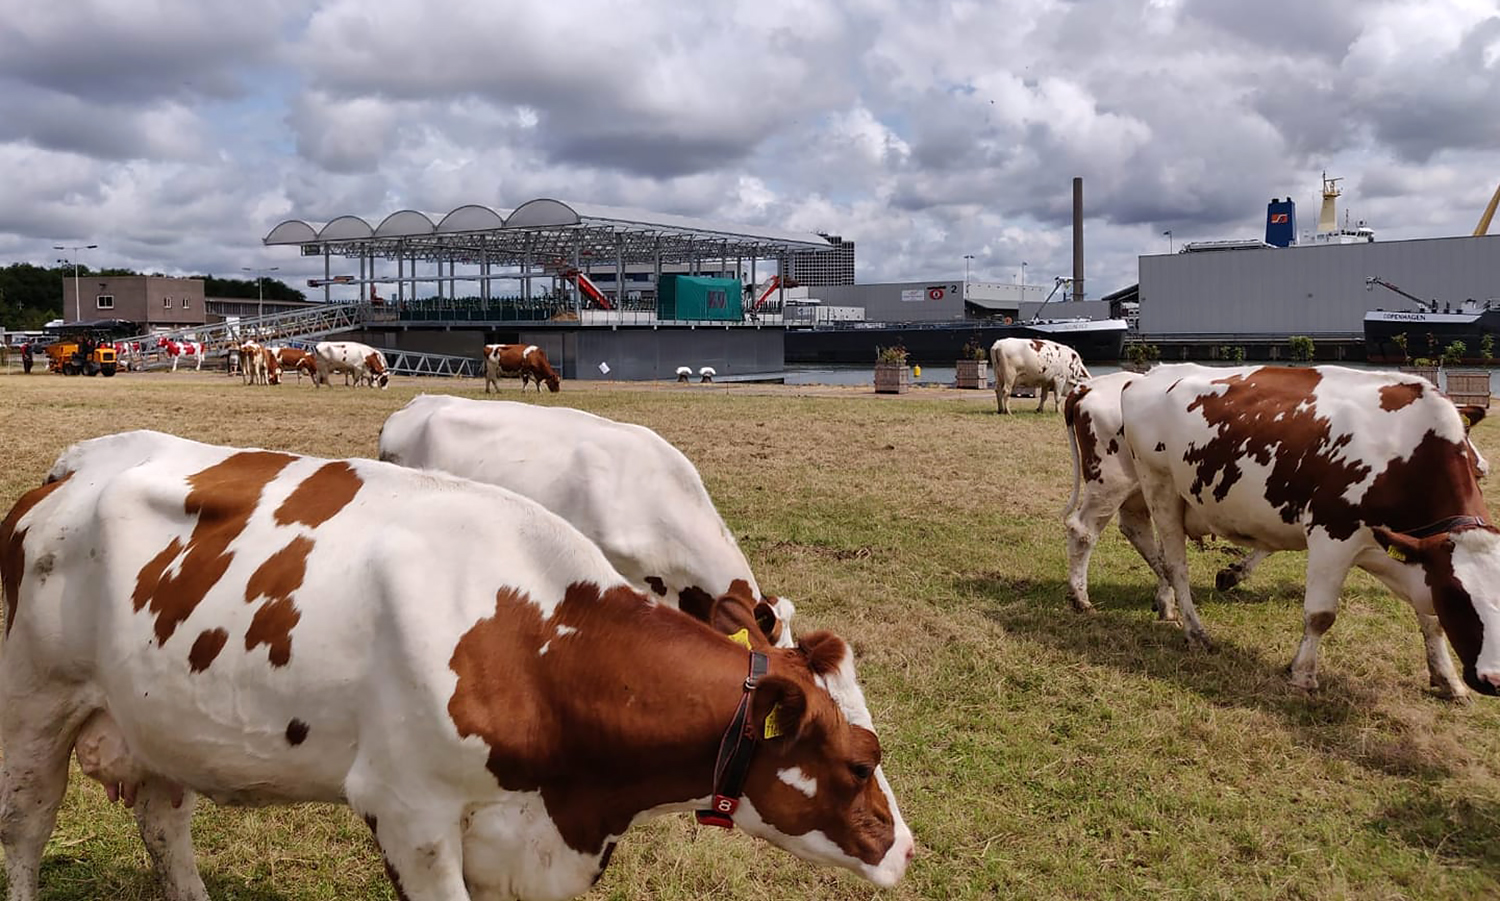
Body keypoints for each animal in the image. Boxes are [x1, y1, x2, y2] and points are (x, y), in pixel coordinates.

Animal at [0, 428, 912, 899]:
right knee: (27, 830)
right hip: (33, 710)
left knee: (165, 822)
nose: (905, 848)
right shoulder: (409, 810)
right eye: (861, 761)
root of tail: (72, 469)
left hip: (159, 717)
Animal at [1122, 361, 1494, 698]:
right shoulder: (1332, 534)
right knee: (1175, 565)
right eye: (1458, 597)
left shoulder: (1406, 550)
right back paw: (1195, 632)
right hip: (1160, 487)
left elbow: (1430, 617)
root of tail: (1150, 374)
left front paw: (1447, 678)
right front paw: (1302, 675)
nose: (1493, 679)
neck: (1407, 450)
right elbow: (1320, 615)